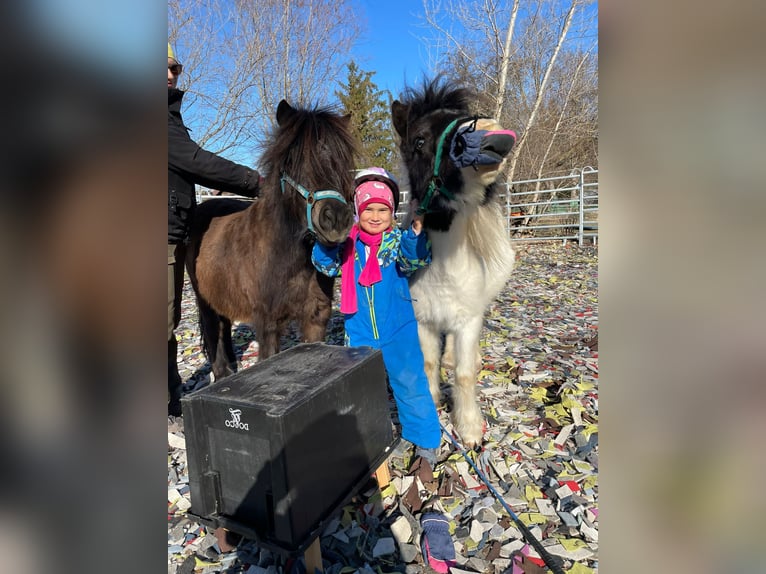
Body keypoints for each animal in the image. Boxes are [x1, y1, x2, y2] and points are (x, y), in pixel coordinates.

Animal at [185, 100, 357, 378]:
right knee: (215, 340)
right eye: (292, 159)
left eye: (342, 158)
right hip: (206, 303)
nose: (336, 220)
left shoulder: (316, 317)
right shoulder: (268, 324)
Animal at [392, 79, 517, 447]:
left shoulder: (468, 321)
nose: (495, 137)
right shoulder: (423, 322)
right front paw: (432, 406)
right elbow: (428, 364)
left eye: (464, 117)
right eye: (419, 140)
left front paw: (470, 429)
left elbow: (462, 375)